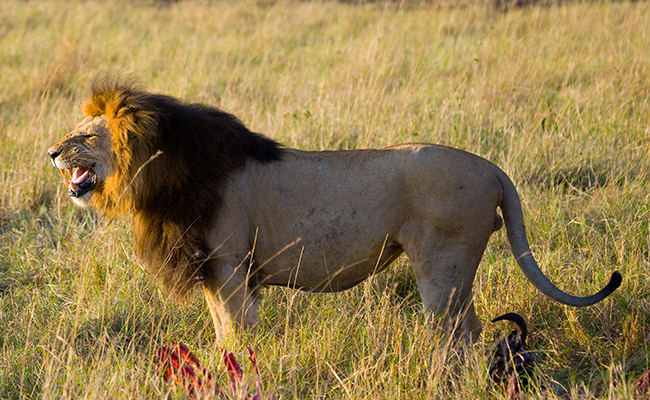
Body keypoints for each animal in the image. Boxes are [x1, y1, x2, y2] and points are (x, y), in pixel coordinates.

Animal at [46, 77, 616, 340]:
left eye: (86, 136)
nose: (51, 151)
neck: (159, 177)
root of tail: (492, 169)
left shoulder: (229, 265)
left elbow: (238, 334)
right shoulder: (212, 269)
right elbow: (221, 331)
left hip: (443, 263)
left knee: (456, 334)